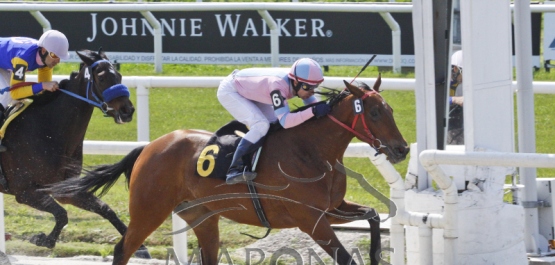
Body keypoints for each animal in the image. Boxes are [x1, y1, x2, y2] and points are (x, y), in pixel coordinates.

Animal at [0, 49, 150, 256]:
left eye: (119, 75)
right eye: (101, 78)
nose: (127, 110)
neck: (47, 131)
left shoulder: (67, 189)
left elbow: (105, 209)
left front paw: (140, 247)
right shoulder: (24, 191)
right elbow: (62, 214)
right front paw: (43, 239)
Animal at [51, 77, 408, 262]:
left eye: (391, 109)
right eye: (374, 112)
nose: (402, 149)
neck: (313, 151)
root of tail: (149, 147)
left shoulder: (330, 209)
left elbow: (373, 216)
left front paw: (377, 252)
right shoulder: (311, 220)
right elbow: (345, 257)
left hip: (202, 216)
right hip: (149, 210)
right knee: (123, 248)